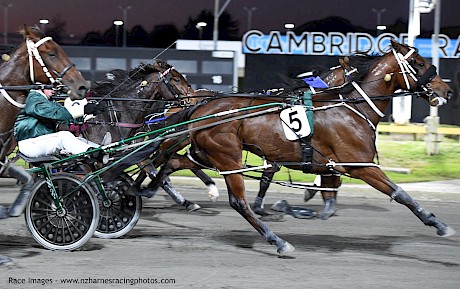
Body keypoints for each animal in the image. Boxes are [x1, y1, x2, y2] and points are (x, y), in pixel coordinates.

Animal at [154, 39, 452, 253]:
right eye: (418, 62)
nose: (446, 91)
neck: (350, 108)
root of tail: (199, 106)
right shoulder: (360, 165)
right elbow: (400, 194)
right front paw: (439, 224)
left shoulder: (330, 167)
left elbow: (327, 205)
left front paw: (293, 206)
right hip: (228, 158)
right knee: (237, 202)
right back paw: (277, 241)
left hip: (206, 153)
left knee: (171, 163)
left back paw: (163, 193)